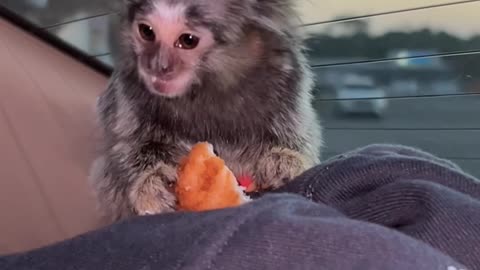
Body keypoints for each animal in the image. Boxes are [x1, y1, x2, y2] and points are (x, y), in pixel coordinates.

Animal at [90, 0, 322, 223]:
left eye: (188, 40)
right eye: (147, 31)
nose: (158, 67)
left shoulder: (286, 83)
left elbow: (298, 138)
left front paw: (284, 160)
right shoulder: (127, 95)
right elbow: (128, 149)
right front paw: (150, 182)